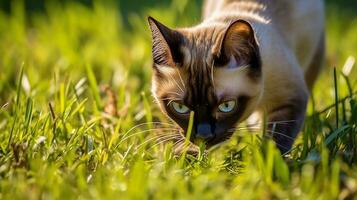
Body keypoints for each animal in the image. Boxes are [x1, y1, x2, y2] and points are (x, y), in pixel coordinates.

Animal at [146, 0, 324, 154]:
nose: (204, 136)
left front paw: (267, 164)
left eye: (226, 106)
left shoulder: (289, 100)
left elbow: (275, 142)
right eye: (180, 108)